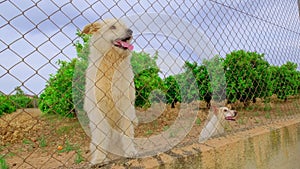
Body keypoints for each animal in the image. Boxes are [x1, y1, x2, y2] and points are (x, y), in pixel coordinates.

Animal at [82, 18, 138, 165]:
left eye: (124, 26)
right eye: (113, 27)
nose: (131, 31)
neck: (111, 63)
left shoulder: (125, 105)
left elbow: (127, 131)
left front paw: (130, 151)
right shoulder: (98, 111)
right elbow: (101, 136)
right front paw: (99, 159)